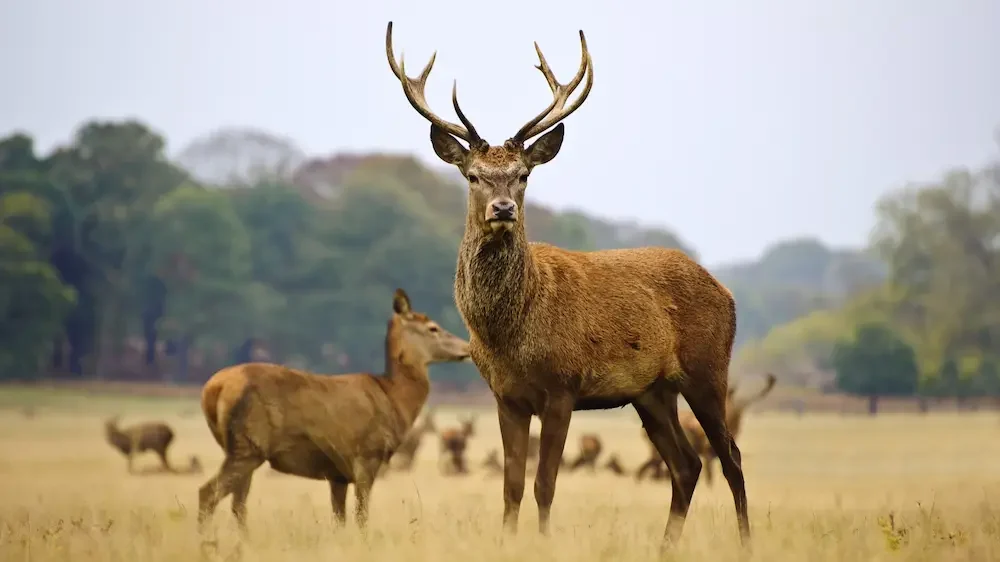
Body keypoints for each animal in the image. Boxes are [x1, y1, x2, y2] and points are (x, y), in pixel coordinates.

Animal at [199, 286, 472, 536]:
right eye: (433, 328)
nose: (468, 347)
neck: (394, 399)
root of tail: (213, 389)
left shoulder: (337, 472)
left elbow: (339, 520)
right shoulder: (367, 455)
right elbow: (361, 516)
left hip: (238, 447)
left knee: (237, 503)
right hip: (248, 444)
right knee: (208, 494)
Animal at [386, 23, 752, 548]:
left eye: (522, 175)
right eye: (473, 175)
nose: (502, 208)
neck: (510, 335)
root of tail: (725, 292)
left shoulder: (563, 389)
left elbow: (544, 485)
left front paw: (542, 543)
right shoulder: (506, 396)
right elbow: (512, 486)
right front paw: (508, 543)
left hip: (708, 368)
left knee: (731, 458)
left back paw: (745, 542)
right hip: (651, 392)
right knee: (686, 464)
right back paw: (665, 548)